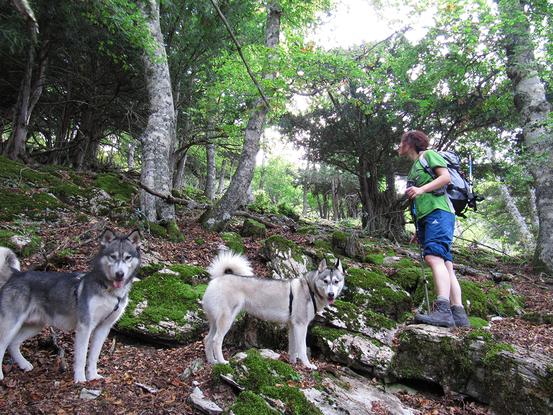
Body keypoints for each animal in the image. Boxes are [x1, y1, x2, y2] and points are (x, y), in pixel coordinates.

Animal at [0, 231, 140, 384]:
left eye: (127, 257)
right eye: (113, 256)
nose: (119, 274)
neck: (109, 291)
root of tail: (16, 274)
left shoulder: (103, 328)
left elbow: (93, 357)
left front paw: (93, 376)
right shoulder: (85, 327)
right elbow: (82, 356)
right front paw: (80, 379)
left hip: (35, 326)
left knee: (13, 344)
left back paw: (24, 364)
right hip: (11, 325)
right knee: (3, 345)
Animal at [201, 250, 342, 370]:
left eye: (336, 281)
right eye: (325, 281)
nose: (331, 294)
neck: (310, 288)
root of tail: (217, 279)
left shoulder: (292, 326)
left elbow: (292, 348)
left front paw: (292, 363)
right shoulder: (301, 325)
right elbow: (301, 349)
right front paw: (307, 365)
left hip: (215, 322)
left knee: (207, 339)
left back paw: (212, 361)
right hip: (226, 320)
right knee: (216, 341)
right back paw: (222, 362)